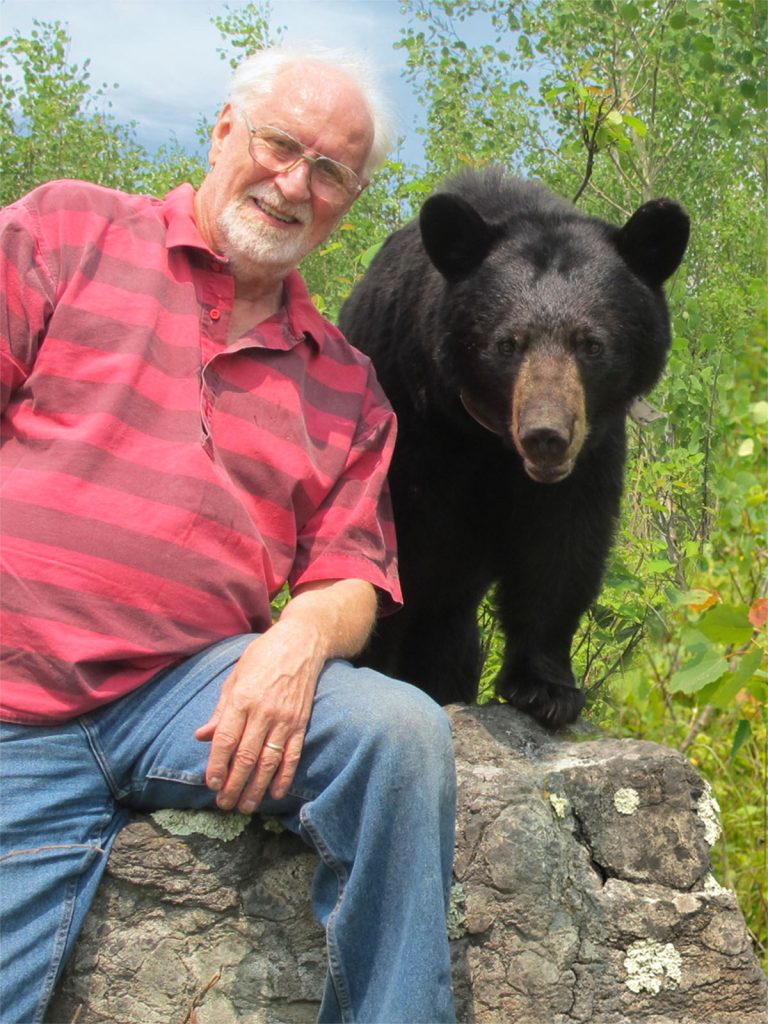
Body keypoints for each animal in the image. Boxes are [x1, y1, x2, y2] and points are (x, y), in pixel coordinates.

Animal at [338, 167, 690, 729]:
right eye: (508, 343)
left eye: (591, 344)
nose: (546, 435)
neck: (484, 435)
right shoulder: (404, 420)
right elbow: (383, 552)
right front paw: (373, 672)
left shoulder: (590, 453)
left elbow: (562, 546)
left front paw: (546, 688)